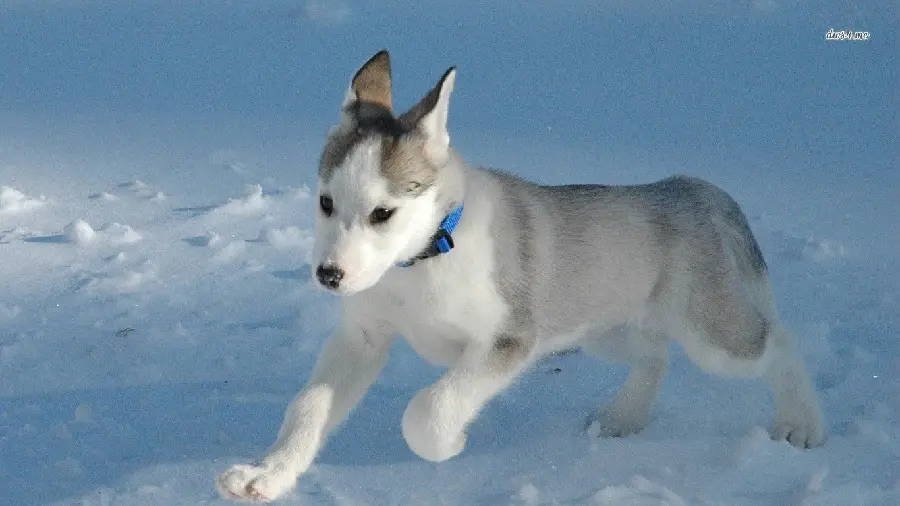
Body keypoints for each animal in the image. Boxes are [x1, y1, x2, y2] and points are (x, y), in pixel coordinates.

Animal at [216, 51, 824, 502]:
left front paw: (449, 446)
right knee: (655, 354)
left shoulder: (511, 338)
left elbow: (430, 409)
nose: (329, 275)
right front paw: (265, 475)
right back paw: (622, 418)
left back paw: (801, 425)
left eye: (382, 213)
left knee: (779, 340)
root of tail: (691, 187)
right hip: (600, 326)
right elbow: (308, 407)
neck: (425, 259)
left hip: (711, 334)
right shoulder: (362, 338)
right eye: (324, 202)